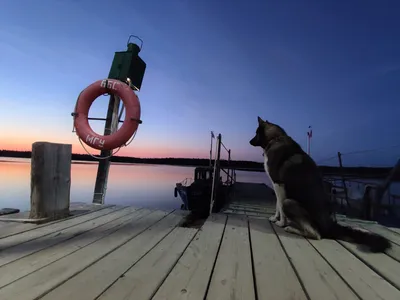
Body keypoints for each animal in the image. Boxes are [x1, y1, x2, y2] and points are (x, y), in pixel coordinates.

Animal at [250, 116, 390, 252]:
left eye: (256, 133)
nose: (250, 142)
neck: (275, 138)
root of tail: (331, 226)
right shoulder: (278, 186)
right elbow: (277, 206)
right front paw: (275, 218)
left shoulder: (278, 184)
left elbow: (278, 206)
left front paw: (280, 222)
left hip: (289, 202)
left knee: (316, 234)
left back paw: (291, 228)